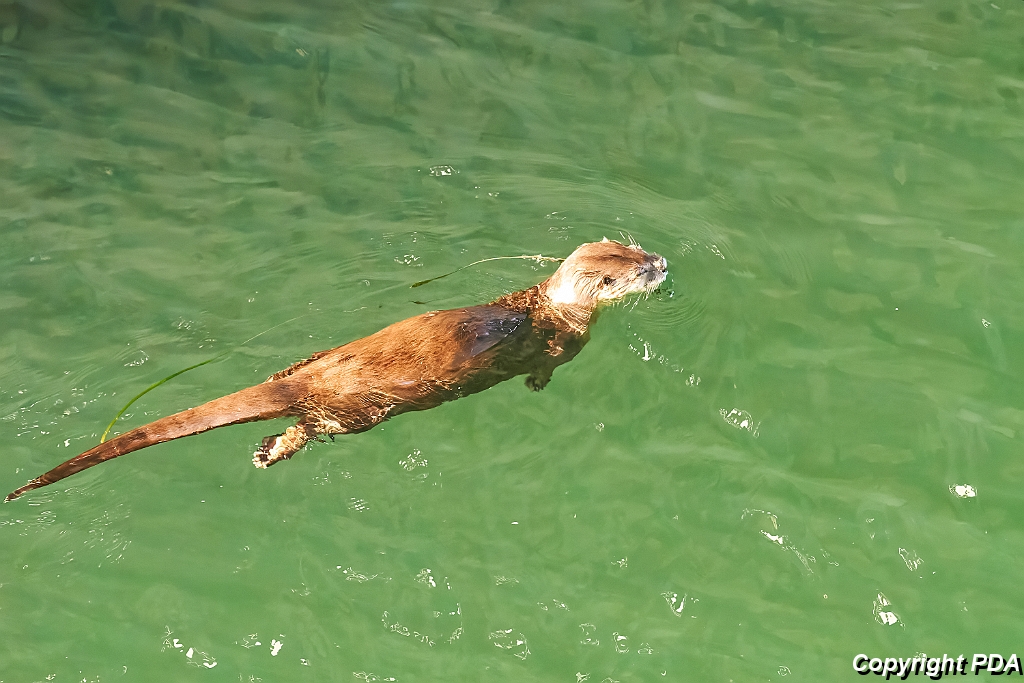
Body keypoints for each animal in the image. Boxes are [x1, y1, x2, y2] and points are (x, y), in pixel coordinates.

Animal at [5, 239, 667, 502]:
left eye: (635, 248)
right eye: (636, 270)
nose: (661, 260)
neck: (550, 306)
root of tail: (308, 379)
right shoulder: (567, 340)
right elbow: (551, 364)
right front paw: (536, 382)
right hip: (357, 413)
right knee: (312, 428)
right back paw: (270, 451)